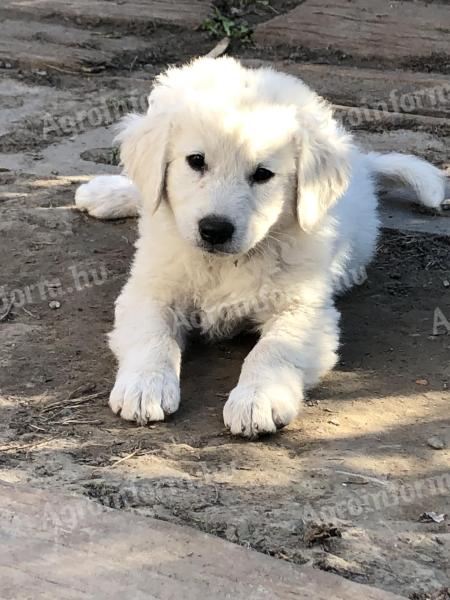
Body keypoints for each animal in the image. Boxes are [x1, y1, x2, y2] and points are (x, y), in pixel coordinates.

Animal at [77, 58, 446, 438]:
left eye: (263, 174)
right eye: (196, 161)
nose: (215, 229)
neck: (226, 263)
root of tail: (362, 166)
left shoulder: (305, 308)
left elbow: (272, 350)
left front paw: (257, 399)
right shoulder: (150, 289)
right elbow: (153, 336)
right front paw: (144, 387)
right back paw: (105, 192)